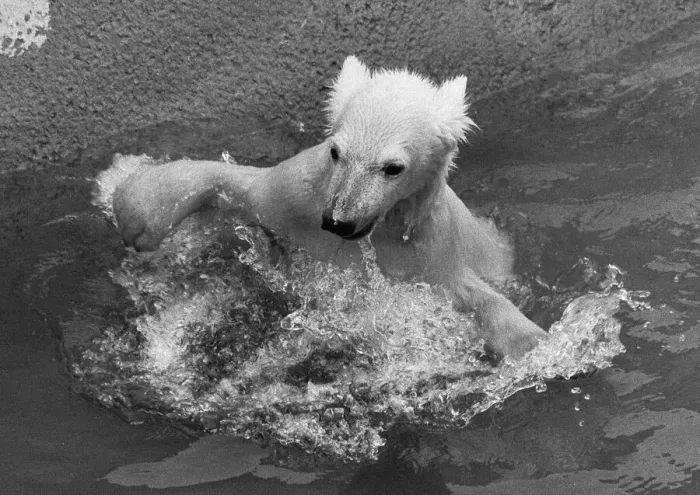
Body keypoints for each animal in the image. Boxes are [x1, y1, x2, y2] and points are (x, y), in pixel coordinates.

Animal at [108, 55, 548, 359]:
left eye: (393, 168)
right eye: (337, 152)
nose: (339, 221)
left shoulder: (428, 251)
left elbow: (474, 296)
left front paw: (537, 344)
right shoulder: (296, 198)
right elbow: (241, 185)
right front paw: (134, 210)